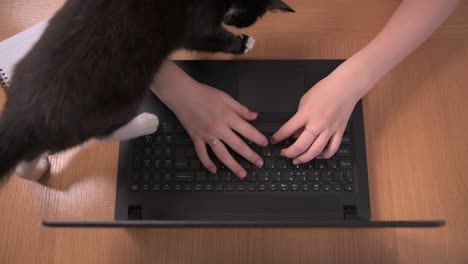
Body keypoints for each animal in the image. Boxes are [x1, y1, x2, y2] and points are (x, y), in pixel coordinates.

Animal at [0, 0, 292, 183]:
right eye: (244, 18)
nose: (231, 19)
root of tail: (23, 113)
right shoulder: (198, 26)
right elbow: (209, 38)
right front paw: (241, 44)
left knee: (28, 156)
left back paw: (34, 167)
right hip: (114, 101)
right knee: (105, 132)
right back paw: (146, 122)